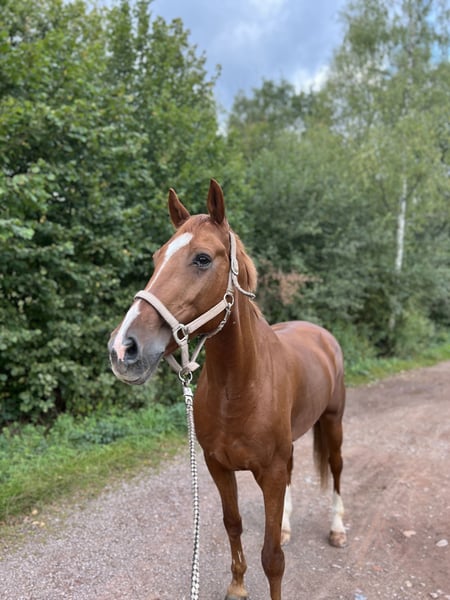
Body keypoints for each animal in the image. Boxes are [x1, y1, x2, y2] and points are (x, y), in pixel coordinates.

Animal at [108, 179, 347, 600]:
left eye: (202, 258)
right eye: (156, 258)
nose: (124, 348)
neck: (238, 388)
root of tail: (320, 334)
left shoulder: (269, 472)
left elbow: (272, 557)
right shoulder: (218, 465)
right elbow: (232, 523)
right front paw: (237, 586)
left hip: (333, 422)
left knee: (336, 469)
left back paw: (337, 529)